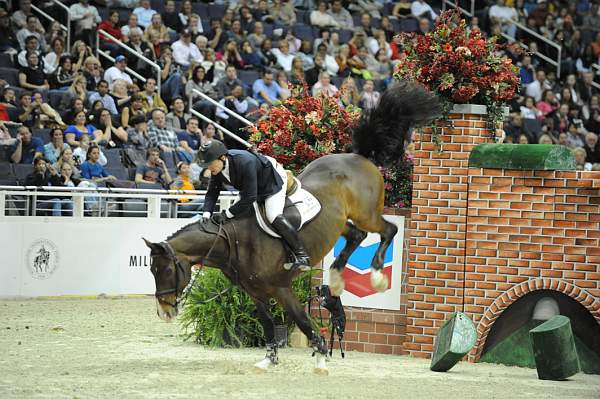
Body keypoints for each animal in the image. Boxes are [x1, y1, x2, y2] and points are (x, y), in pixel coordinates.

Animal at [142, 82, 438, 376]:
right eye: (151, 271)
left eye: (166, 270)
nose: (164, 312)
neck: (234, 242)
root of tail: (359, 157)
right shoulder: (256, 293)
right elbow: (268, 326)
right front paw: (268, 359)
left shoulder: (281, 288)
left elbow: (304, 322)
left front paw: (320, 360)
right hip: (339, 223)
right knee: (357, 235)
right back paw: (337, 277)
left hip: (366, 214)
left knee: (387, 231)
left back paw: (376, 275)